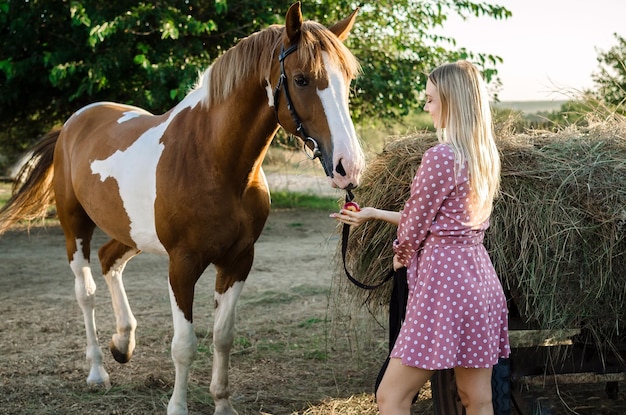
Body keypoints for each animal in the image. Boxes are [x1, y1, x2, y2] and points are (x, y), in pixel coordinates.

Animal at [0, 2, 364, 412]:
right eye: (301, 79)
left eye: (348, 79)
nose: (349, 166)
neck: (212, 160)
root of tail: (71, 125)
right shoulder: (182, 265)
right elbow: (184, 345)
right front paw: (178, 406)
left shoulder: (238, 260)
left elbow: (223, 336)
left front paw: (223, 403)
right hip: (74, 226)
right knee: (86, 291)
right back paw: (96, 371)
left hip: (131, 232)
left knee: (110, 261)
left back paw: (123, 342)